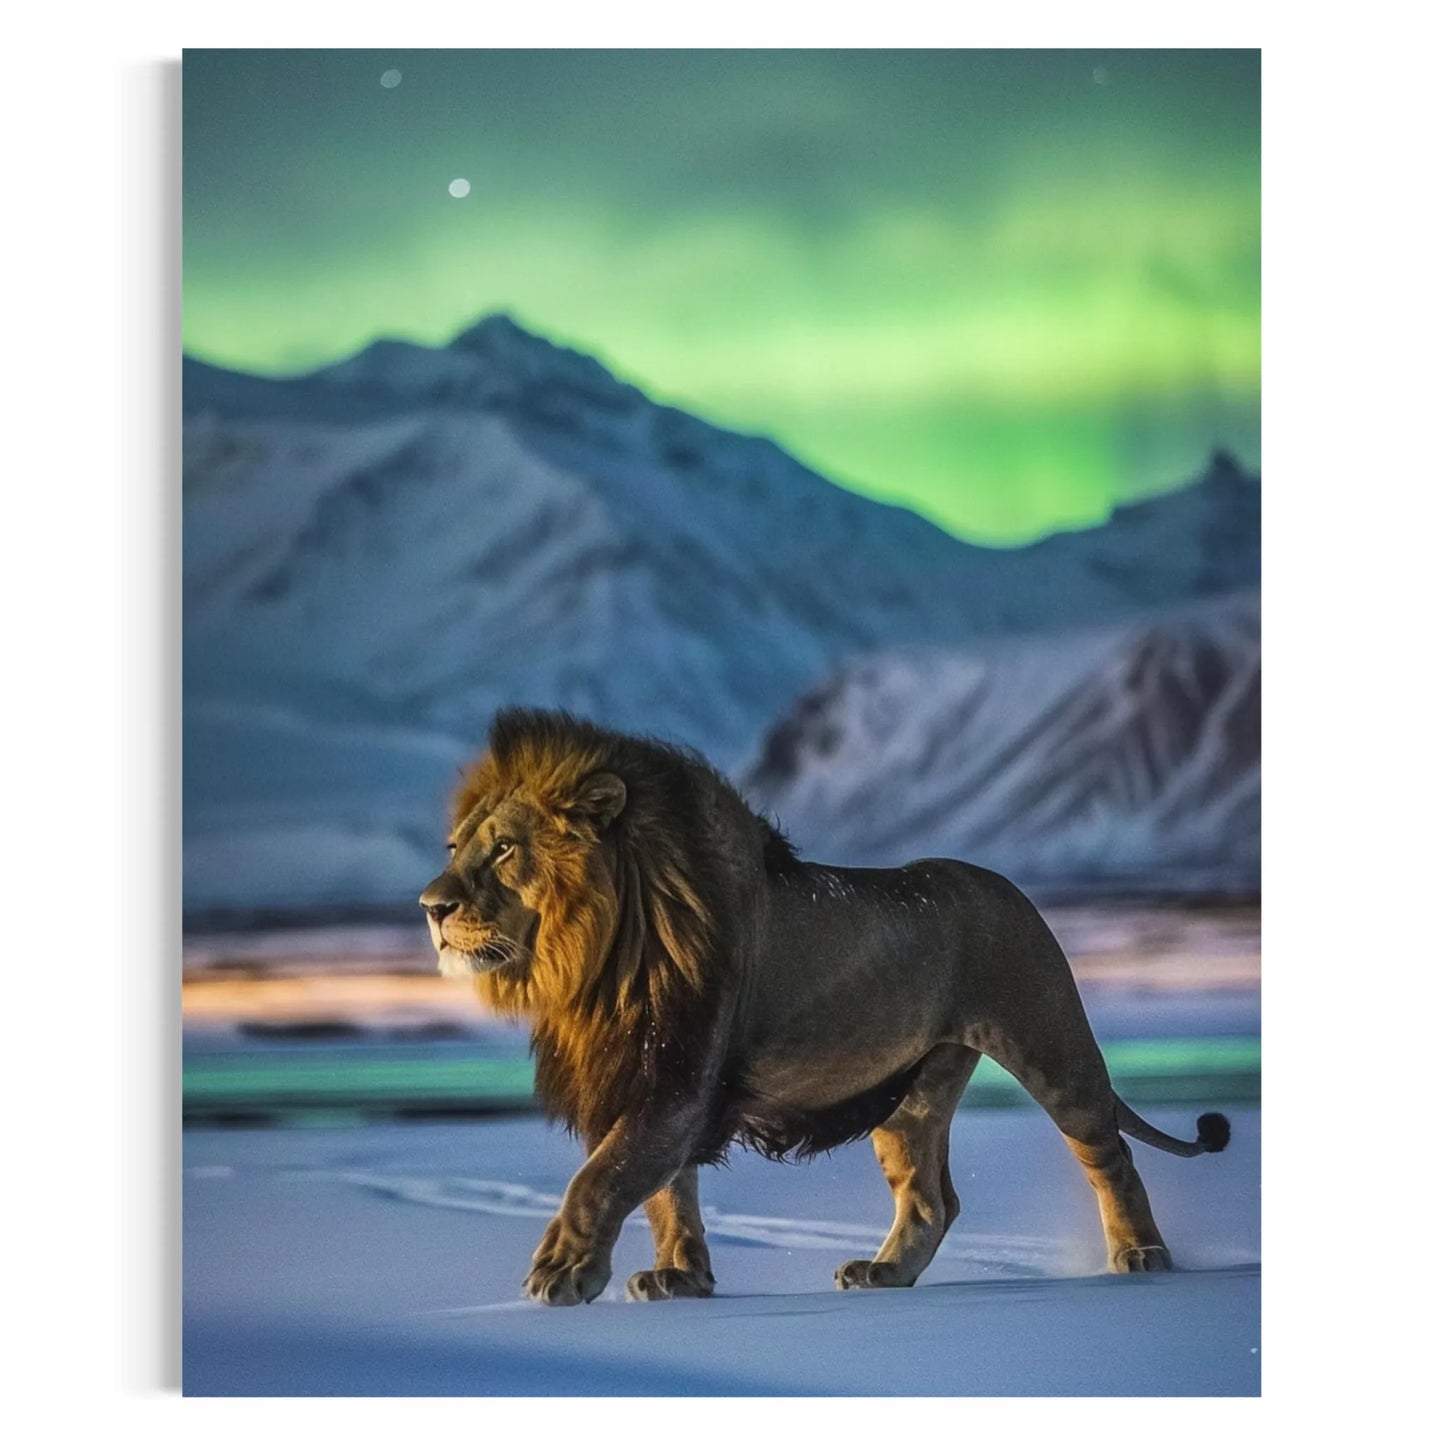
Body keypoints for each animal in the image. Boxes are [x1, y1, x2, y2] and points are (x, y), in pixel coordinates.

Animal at [419, 708, 1230, 1305]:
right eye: (455, 846)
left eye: (504, 849)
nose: (431, 905)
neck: (594, 957)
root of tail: (1008, 886)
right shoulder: (638, 1073)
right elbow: (664, 1191)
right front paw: (682, 1278)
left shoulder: (678, 1075)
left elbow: (603, 1178)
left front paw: (562, 1272)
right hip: (912, 1094)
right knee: (931, 1200)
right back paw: (883, 1273)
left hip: (1052, 1043)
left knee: (1110, 1156)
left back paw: (1141, 1254)